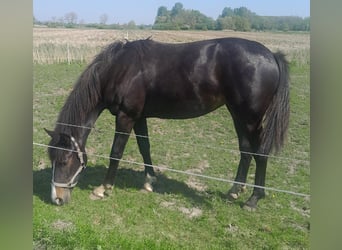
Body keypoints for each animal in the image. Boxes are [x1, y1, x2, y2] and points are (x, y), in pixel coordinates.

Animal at [44, 36, 288, 210]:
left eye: (64, 161)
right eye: (52, 159)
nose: (57, 199)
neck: (121, 69)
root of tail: (271, 55)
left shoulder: (126, 116)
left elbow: (116, 152)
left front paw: (103, 188)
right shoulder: (139, 117)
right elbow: (145, 147)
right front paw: (149, 181)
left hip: (251, 119)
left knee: (260, 154)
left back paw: (254, 199)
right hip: (238, 116)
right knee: (246, 151)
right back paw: (234, 191)